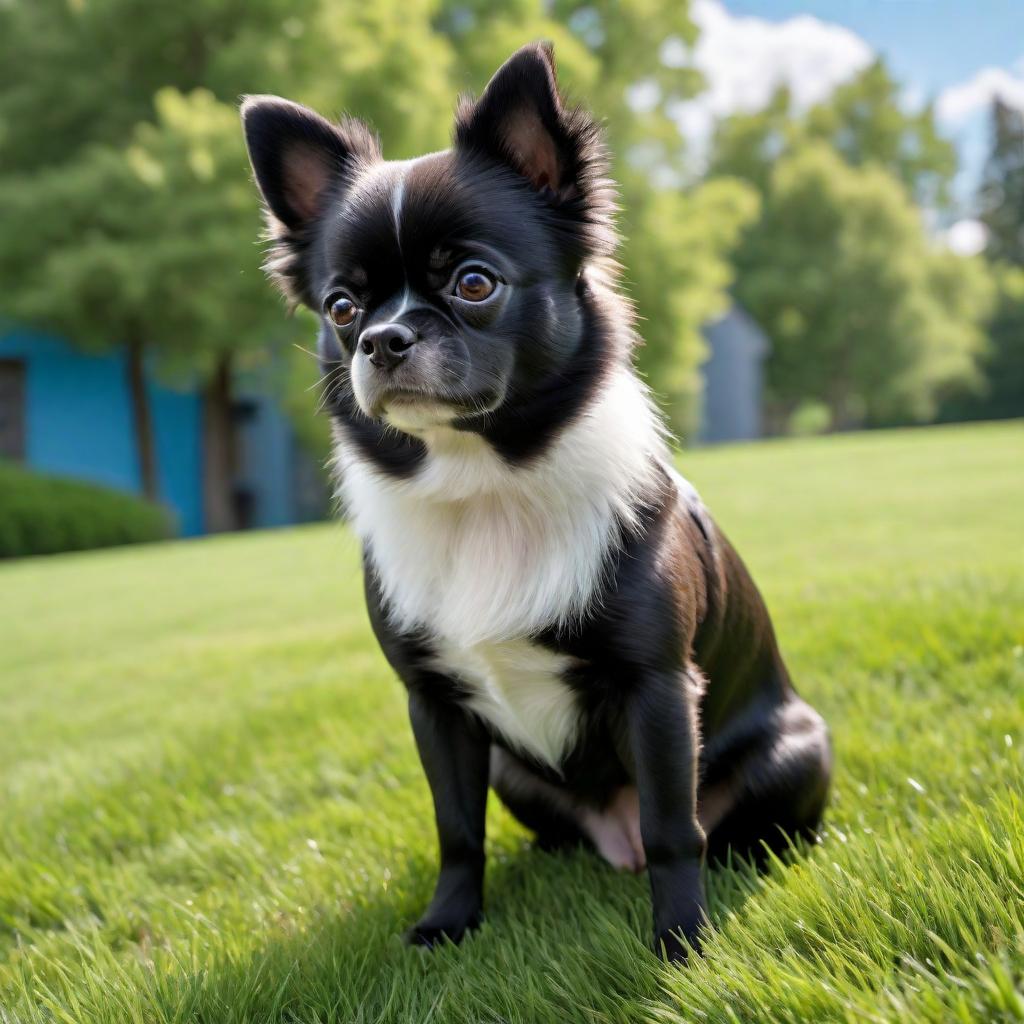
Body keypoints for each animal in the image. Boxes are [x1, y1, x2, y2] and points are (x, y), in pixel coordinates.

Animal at [241, 44, 831, 962]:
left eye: (474, 283)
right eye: (341, 306)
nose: (381, 339)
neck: (482, 483)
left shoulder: (658, 690)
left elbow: (675, 827)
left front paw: (682, 942)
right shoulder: (436, 708)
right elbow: (457, 830)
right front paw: (449, 923)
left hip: (797, 752)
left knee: (710, 827)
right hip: (515, 770)